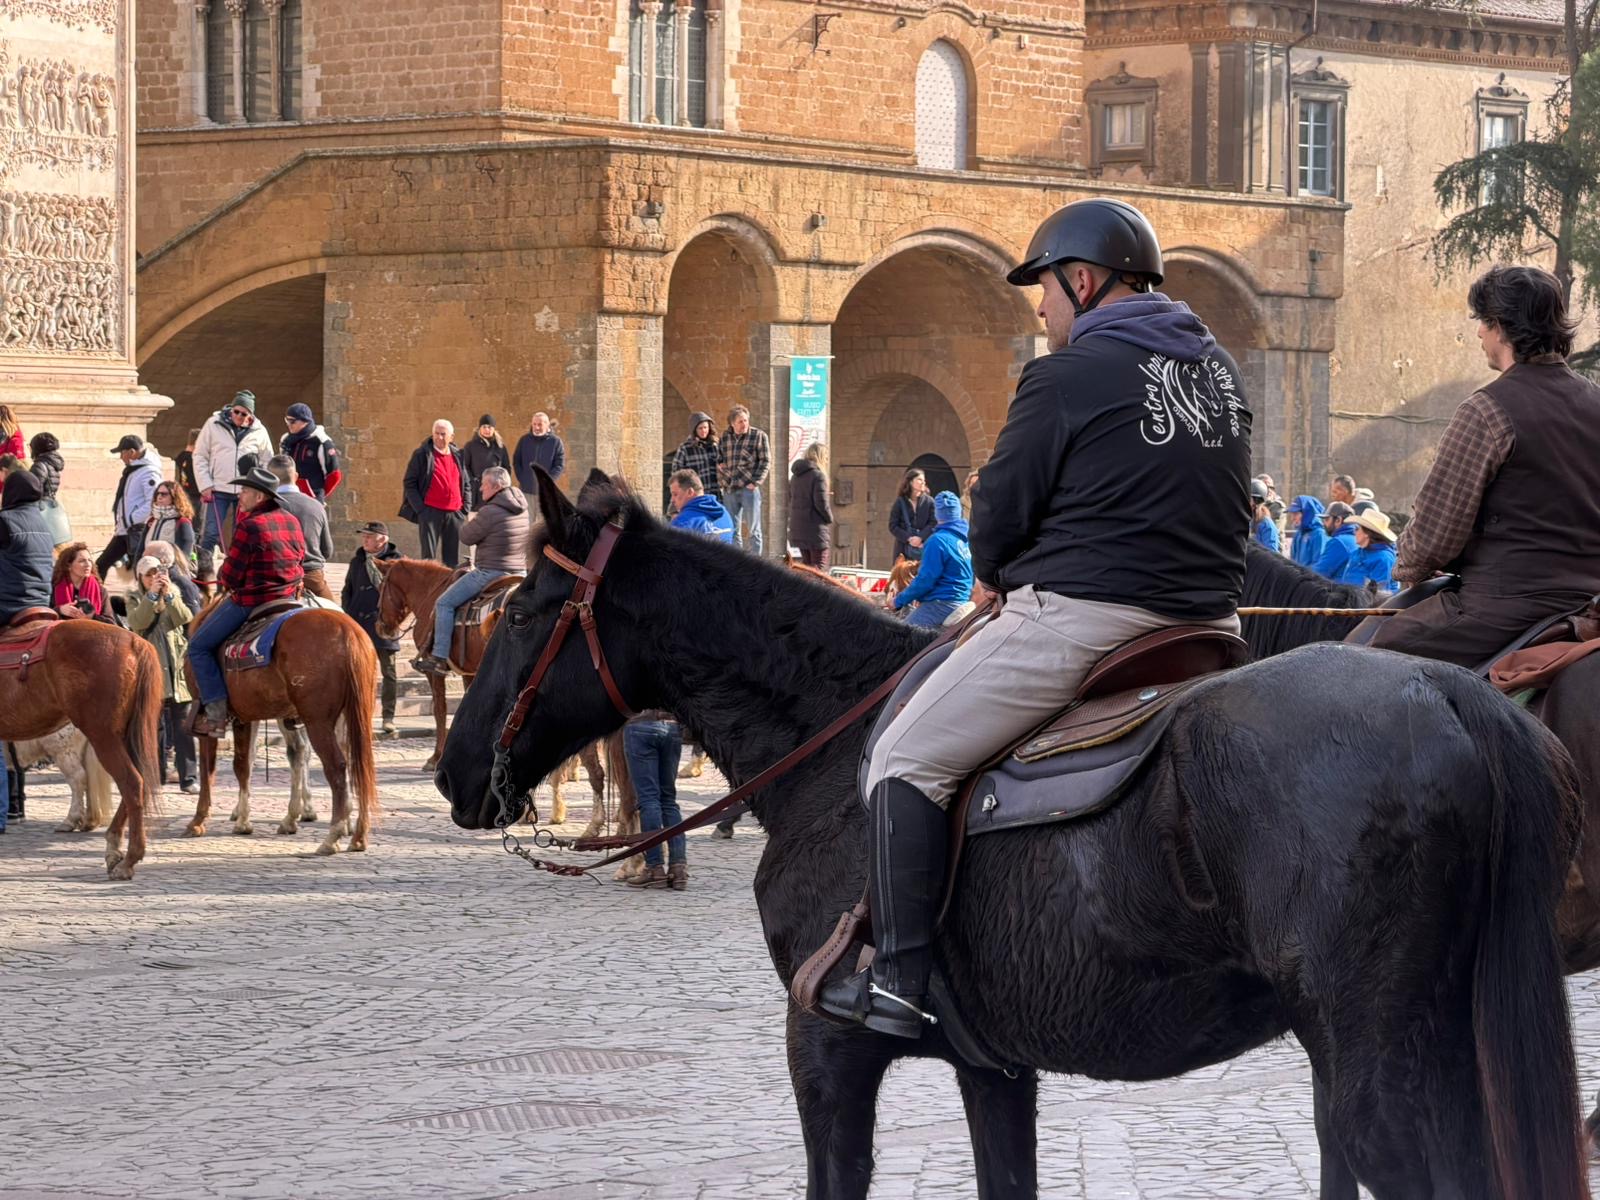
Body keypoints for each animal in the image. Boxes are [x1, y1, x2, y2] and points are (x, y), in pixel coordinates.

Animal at [0, 618, 161, 879]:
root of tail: (134, 641)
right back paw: (112, 848)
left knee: (129, 783)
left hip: (102, 736)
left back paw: (127, 860)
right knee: (137, 783)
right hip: (123, 736)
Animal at [182, 597, 378, 855]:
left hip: (318, 721)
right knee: (359, 764)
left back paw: (332, 835)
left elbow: (210, 769)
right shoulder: (245, 717)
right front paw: (243, 820)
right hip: (355, 715)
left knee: (335, 766)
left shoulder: (208, 719)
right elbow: (243, 765)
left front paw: (199, 820)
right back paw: (357, 834)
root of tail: (348, 631)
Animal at [372, 555, 609, 831]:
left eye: (382, 587)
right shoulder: (471, 674)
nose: (381, 628)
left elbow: (440, 712)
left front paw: (434, 757)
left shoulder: (436, 675)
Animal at [434, 470, 1589, 1200]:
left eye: (529, 609)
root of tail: (1447, 695)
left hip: (1376, 1079)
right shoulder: (994, 1070)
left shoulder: (826, 1049)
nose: (453, 772)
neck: (829, 742)